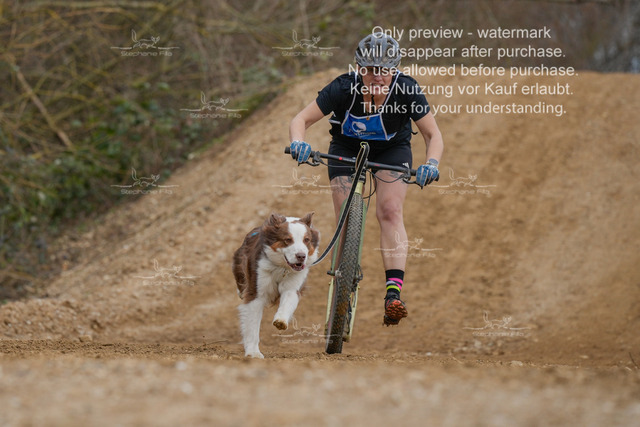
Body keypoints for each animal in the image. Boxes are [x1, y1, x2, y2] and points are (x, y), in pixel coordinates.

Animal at [233, 212, 320, 358]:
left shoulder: (293, 286)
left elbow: (288, 301)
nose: (301, 256)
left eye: (306, 240)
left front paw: (281, 321)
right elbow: (252, 324)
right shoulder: (257, 291)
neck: (282, 268)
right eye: (288, 240)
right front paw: (253, 353)